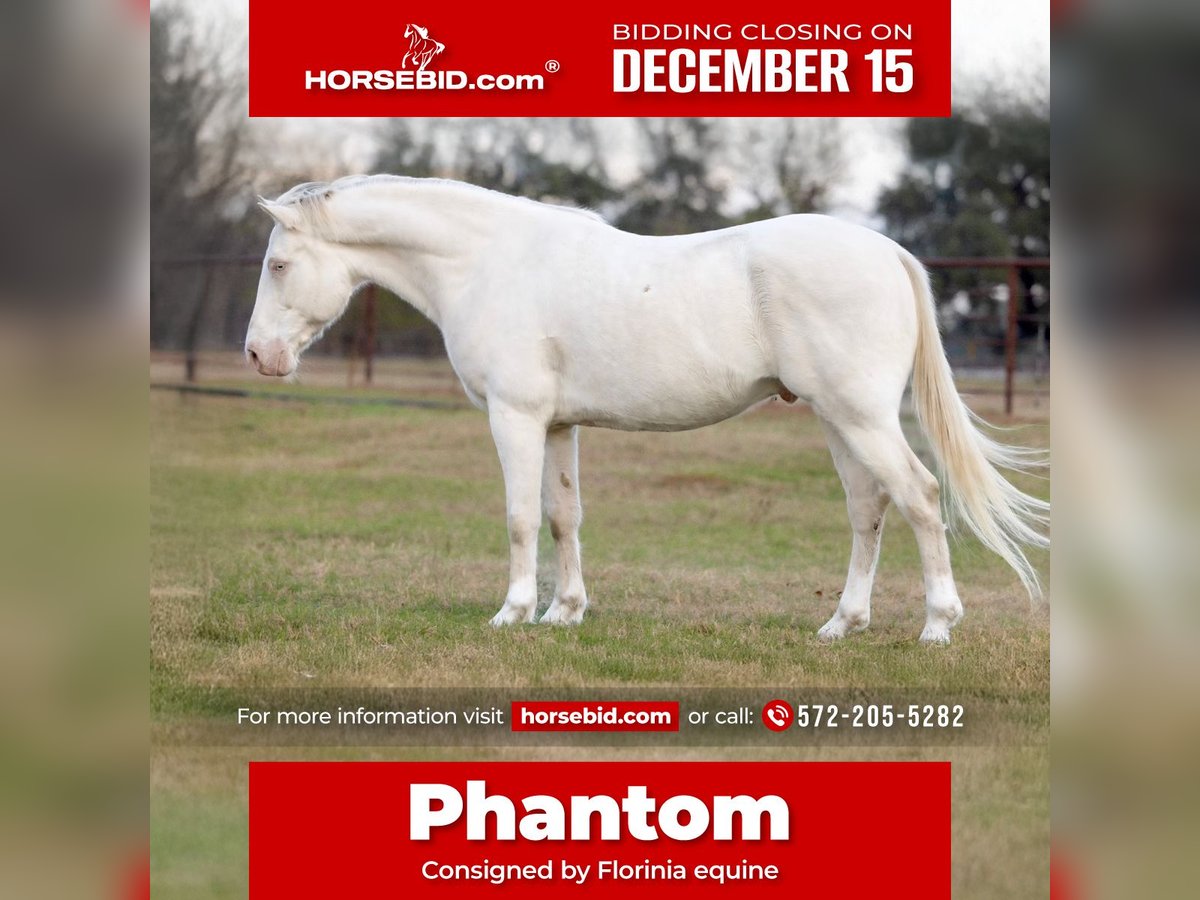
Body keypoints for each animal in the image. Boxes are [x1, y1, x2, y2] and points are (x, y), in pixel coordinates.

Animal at [245, 175, 1048, 643]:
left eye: (278, 264)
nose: (258, 355)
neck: (488, 263)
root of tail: (887, 251)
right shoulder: (558, 425)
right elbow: (563, 516)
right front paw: (564, 612)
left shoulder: (515, 417)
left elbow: (519, 518)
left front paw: (512, 613)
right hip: (839, 420)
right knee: (869, 508)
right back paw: (842, 623)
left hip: (862, 417)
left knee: (919, 496)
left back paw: (937, 625)